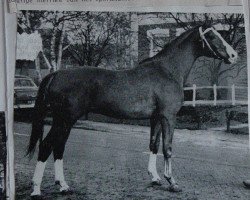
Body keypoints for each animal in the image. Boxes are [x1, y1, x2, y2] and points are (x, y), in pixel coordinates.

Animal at [27, 24, 238, 196]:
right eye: (211, 35)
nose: (234, 55)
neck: (168, 70)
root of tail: (56, 74)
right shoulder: (168, 117)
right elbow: (167, 148)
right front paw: (172, 182)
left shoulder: (156, 118)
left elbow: (154, 144)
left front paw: (155, 178)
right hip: (65, 119)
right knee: (47, 146)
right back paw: (37, 188)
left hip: (63, 120)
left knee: (58, 147)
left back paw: (63, 186)